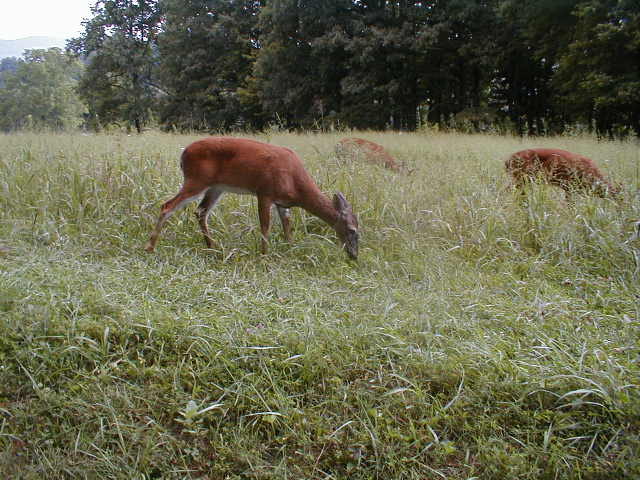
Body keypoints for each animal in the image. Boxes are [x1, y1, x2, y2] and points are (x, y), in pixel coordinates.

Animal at [146, 137, 362, 260]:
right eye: (353, 230)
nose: (354, 256)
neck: (296, 184)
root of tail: (183, 154)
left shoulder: (282, 202)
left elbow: (287, 226)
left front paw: (290, 248)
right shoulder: (264, 192)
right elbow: (265, 225)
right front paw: (264, 255)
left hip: (216, 187)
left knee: (200, 211)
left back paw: (212, 247)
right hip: (197, 180)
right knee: (167, 206)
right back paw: (150, 247)